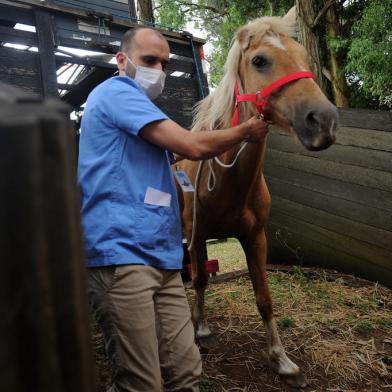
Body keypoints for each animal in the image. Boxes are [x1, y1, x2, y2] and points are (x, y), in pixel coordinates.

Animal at [175, 6, 336, 388]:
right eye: (260, 60)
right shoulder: (197, 235)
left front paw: (282, 361)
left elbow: (264, 298)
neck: (228, 180)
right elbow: (200, 279)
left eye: (302, 55)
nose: (324, 120)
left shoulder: (255, 237)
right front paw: (202, 330)